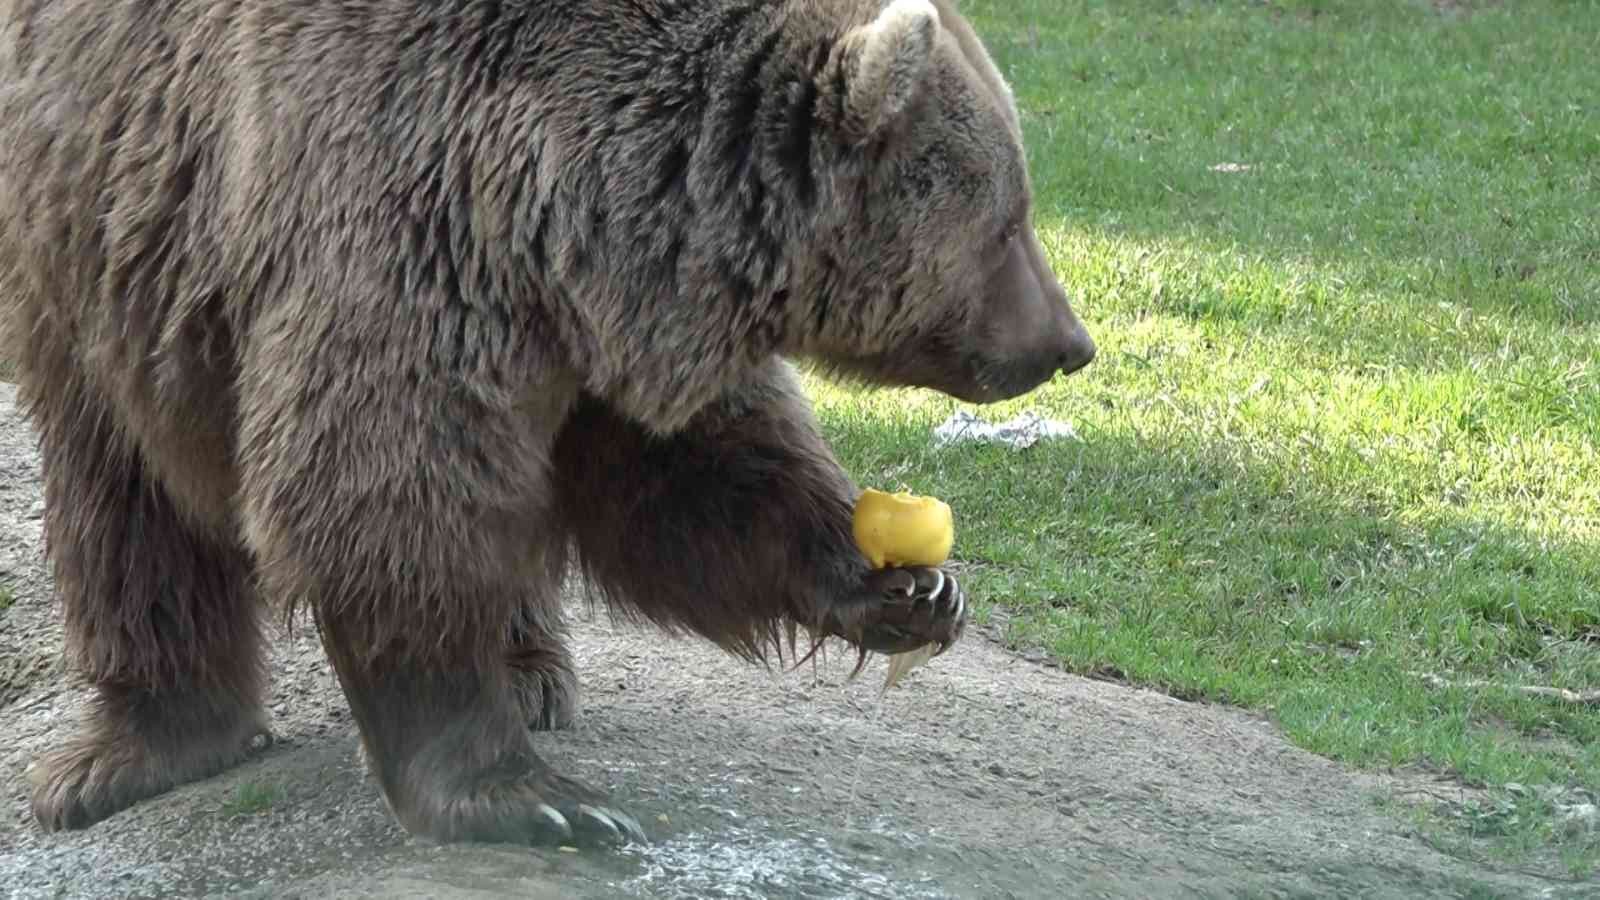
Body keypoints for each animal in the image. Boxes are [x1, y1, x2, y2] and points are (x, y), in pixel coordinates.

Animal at [0, 0, 1094, 845]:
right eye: (1008, 221)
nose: (1071, 341)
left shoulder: (602, 330)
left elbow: (696, 478)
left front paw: (907, 584)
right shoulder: (390, 211)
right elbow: (383, 498)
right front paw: (530, 798)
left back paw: (530, 670)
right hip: (101, 250)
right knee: (124, 500)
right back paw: (132, 753)